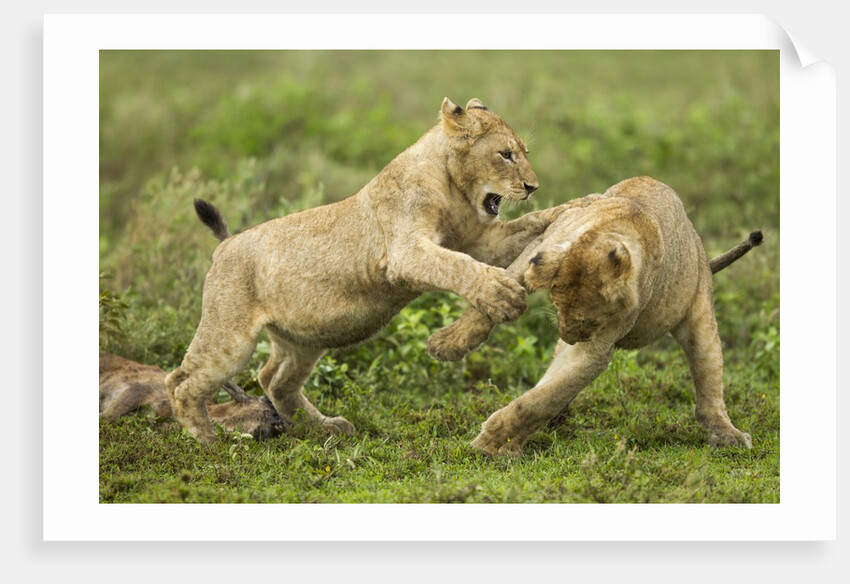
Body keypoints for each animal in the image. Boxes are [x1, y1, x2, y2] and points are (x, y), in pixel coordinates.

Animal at [166, 98, 573, 444]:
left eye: (524, 153)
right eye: (505, 155)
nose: (532, 186)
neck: (452, 189)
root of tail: (225, 245)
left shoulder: (480, 241)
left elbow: (526, 225)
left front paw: (570, 208)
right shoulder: (407, 252)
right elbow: (457, 266)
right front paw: (500, 296)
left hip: (302, 339)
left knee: (274, 379)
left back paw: (322, 426)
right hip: (229, 336)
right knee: (181, 380)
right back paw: (206, 439)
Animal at [426, 175, 762, 456]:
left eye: (588, 321)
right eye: (556, 306)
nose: (567, 337)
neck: (609, 236)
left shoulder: (597, 347)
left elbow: (544, 398)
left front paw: (491, 444)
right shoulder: (537, 249)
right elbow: (490, 300)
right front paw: (446, 344)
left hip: (700, 314)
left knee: (709, 384)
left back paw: (727, 434)